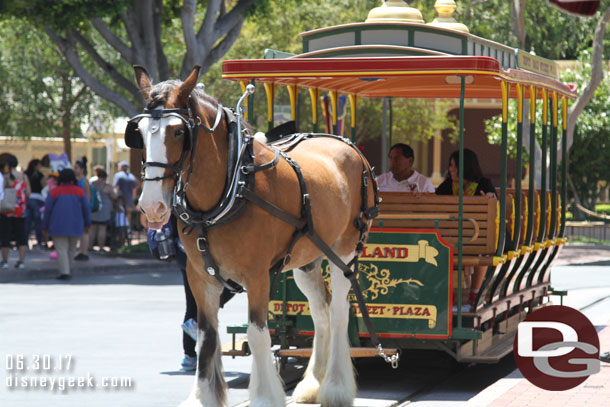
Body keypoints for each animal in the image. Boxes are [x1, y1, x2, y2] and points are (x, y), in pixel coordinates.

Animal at [131, 67, 372, 407]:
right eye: (138, 132)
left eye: (178, 132)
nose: (152, 206)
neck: (232, 189)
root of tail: (349, 148)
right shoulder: (200, 276)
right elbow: (206, 336)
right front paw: (202, 396)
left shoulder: (257, 275)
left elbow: (258, 334)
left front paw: (264, 396)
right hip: (307, 258)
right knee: (320, 311)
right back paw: (313, 383)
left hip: (346, 250)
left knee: (339, 310)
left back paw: (335, 387)